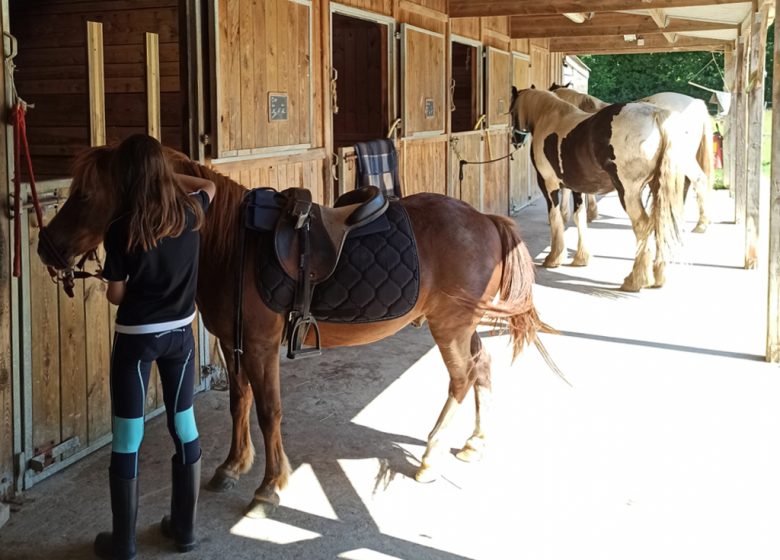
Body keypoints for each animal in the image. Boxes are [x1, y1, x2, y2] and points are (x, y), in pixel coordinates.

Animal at [38, 147, 560, 520]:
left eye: (86, 195)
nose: (46, 247)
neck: (230, 242)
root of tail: (486, 221)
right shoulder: (233, 343)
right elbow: (240, 403)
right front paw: (232, 467)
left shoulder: (261, 347)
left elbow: (269, 411)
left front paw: (269, 488)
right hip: (464, 326)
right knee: (482, 368)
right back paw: (474, 443)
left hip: (449, 326)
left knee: (460, 378)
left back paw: (431, 456)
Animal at [508, 86, 684, 294]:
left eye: (511, 111)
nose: (515, 140)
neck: (548, 117)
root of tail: (655, 115)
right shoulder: (576, 187)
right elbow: (579, 217)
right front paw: (581, 258)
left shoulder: (548, 185)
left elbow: (555, 217)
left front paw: (553, 258)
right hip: (656, 188)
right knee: (659, 222)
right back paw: (657, 277)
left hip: (628, 192)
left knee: (642, 225)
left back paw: (634, 281)